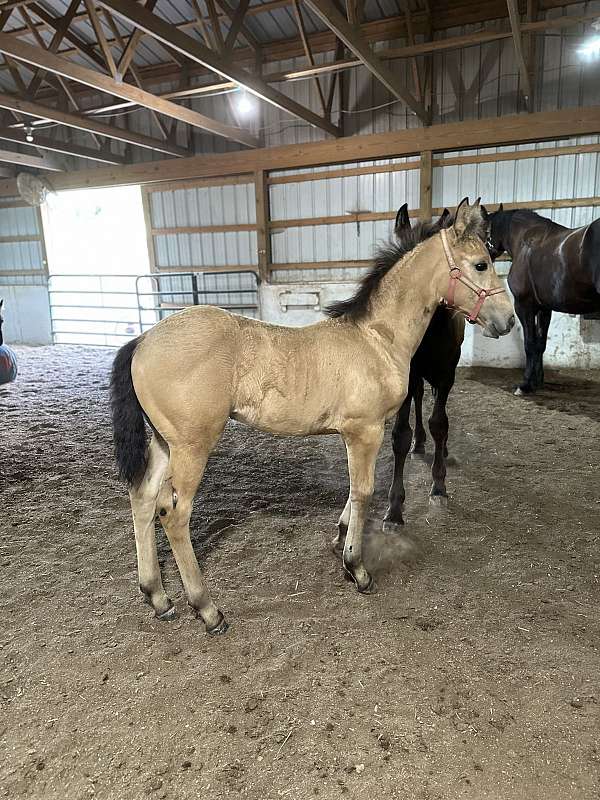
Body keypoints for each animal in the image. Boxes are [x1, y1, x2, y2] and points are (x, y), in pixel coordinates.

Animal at [382, 206, 466, 532]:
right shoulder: (406, 375)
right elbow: (400, 435)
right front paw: (394, 510)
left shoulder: (446, 376)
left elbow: (440, 423)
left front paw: (439, 487)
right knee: (418, 399)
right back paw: (420, 443)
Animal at [488, 205, 600, 396]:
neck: (525, 241)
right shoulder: (544, 308)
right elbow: (540, 344)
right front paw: (537, 382)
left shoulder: (523, 305)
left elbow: (530, 344)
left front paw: (525, 385)